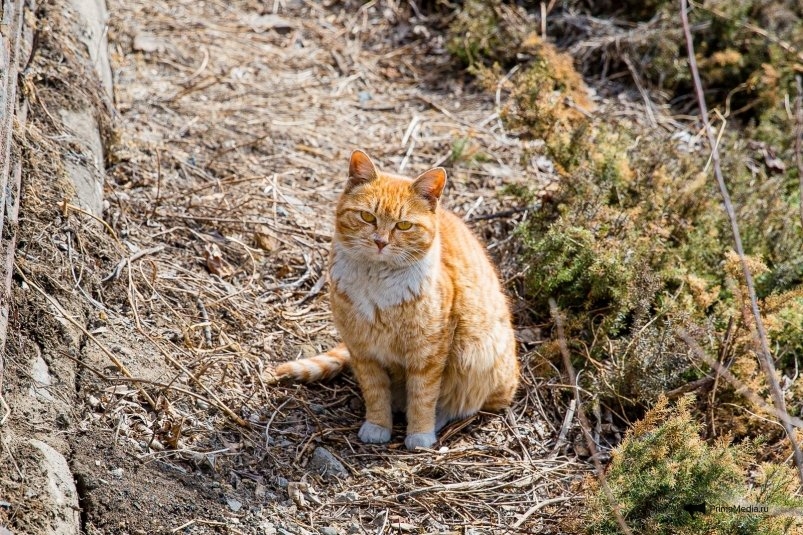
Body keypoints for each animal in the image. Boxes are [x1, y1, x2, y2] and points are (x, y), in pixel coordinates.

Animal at [274, 152, 520, 452]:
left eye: (403, 225)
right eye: (367, 217)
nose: (380, 242)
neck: (376, 284)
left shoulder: (428, 353)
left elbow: (423, 395)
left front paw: (420, 434)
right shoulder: (362, 350)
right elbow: (375, 392)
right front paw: (378, 425)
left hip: (479, 357)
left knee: (469, 404)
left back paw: (440, 417)